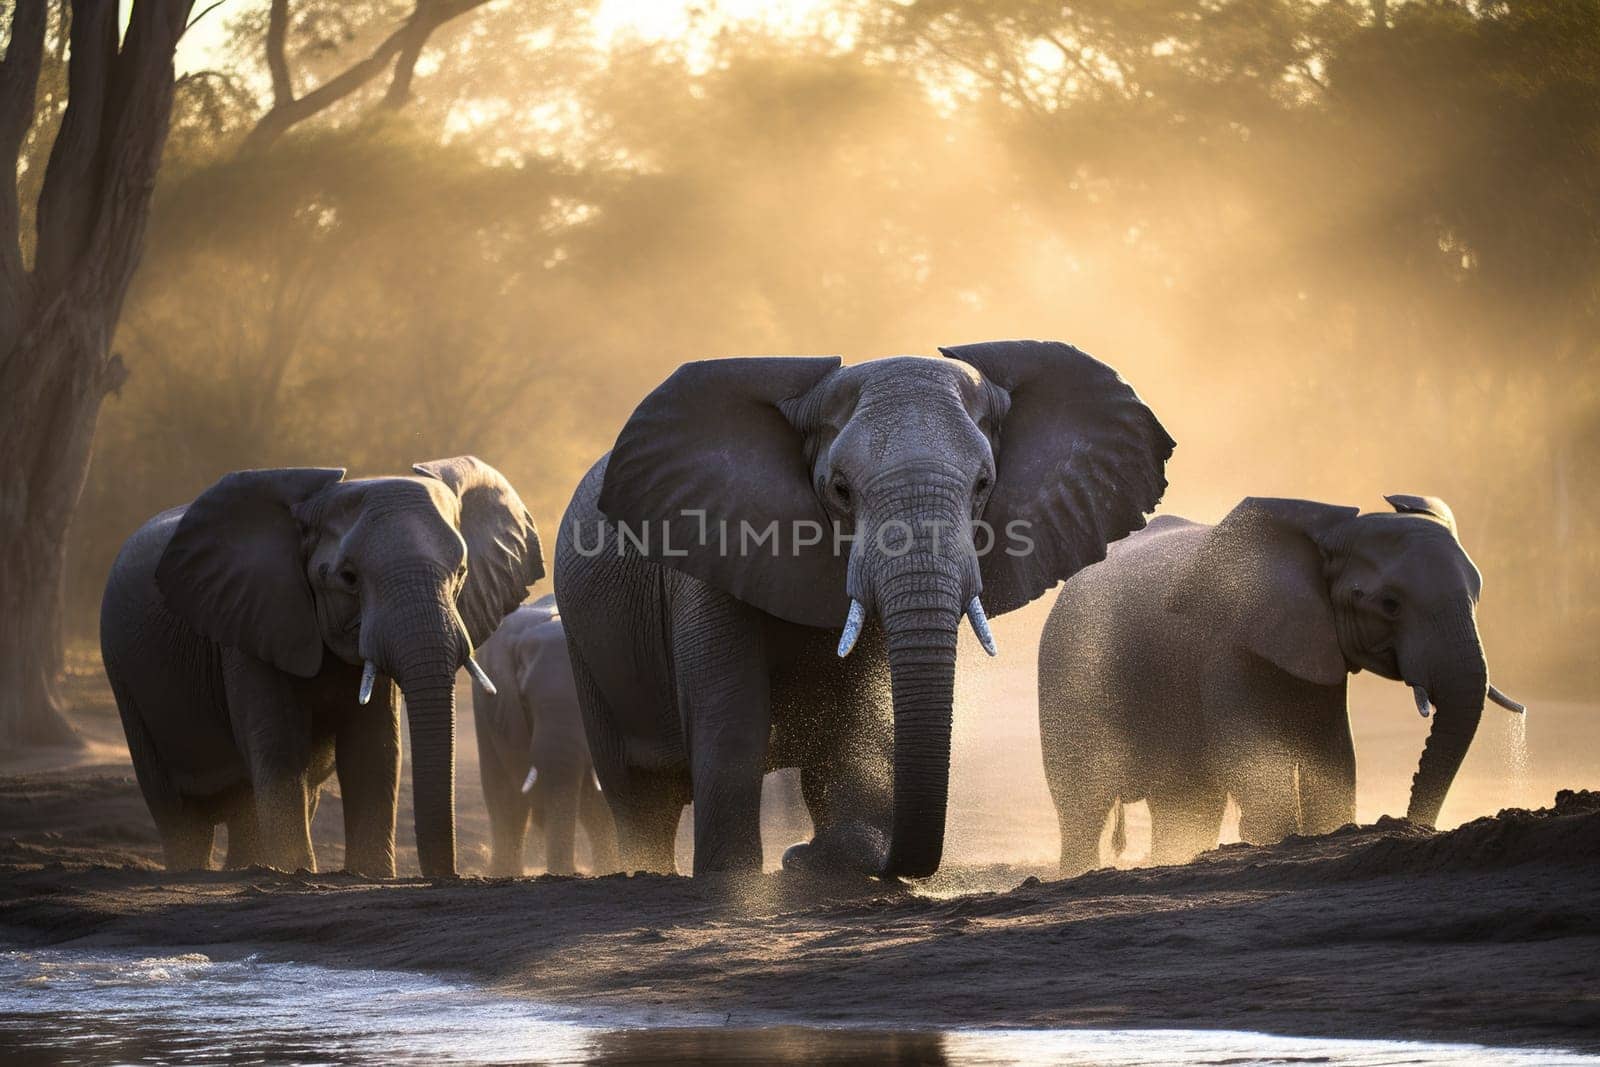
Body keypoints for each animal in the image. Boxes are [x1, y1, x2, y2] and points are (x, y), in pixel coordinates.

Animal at [100, 454, 540, 883]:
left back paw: (246, 869)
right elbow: (280, 747)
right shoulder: (252, 622)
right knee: (176, 808)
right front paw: (298, 871)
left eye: (462, 572)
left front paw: (369, 875)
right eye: (348, 577)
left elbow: (374, 748)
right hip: (124, 675)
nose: (448, 877)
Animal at [556, 340, 1171, 876]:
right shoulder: (708, 551)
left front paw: (837, 860)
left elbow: (862, 715)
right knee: (637, 796)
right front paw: (734, 882)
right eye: (840, 490)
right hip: (586, 650)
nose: (798, 855)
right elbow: (731, 716)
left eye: (983, 485)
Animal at [1036, 492, 1523, 876]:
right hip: (1068, 677)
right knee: (1083, 806)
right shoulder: (1228, 645)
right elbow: (1254, 757)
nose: (1405, 824)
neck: (1329, 535)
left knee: (1187, 806)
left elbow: (1333, 753)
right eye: (1390, 604)